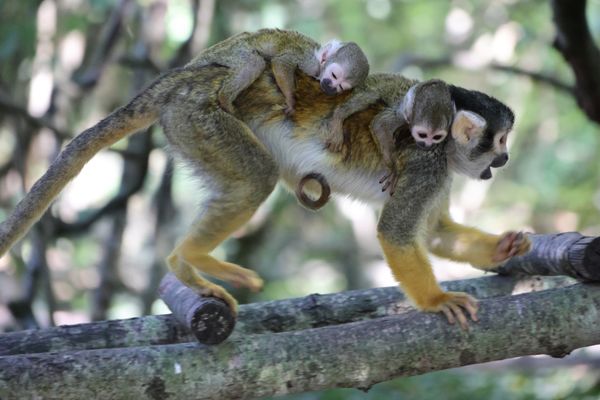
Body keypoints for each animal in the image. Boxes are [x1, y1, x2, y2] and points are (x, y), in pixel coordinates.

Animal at [190, 28, 370, 115]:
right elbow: (281, 63)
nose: (331, 87)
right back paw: (225, 98)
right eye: (334, 76)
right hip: (233, 51)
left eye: (341, 87)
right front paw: (291, 100)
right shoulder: (309, 62)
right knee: (254, 63)